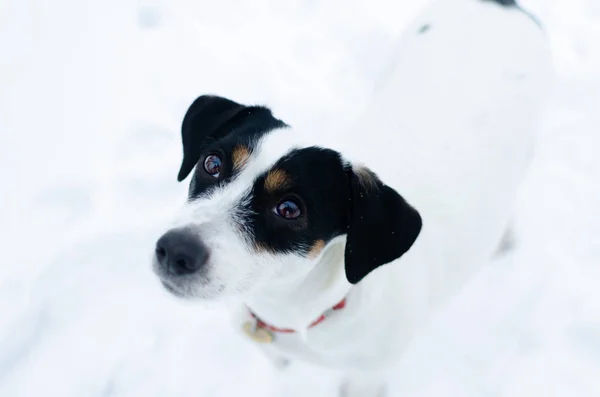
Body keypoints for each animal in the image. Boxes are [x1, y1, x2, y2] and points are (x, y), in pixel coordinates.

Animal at [151, 1, 552, 394]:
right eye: (212, 163)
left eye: (289, 208)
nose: (175, 250)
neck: (300, 313)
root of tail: (505, 4)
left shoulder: (368, 374)